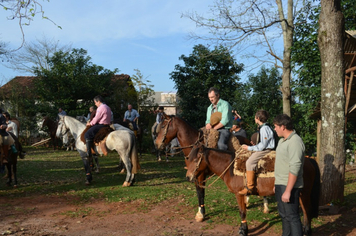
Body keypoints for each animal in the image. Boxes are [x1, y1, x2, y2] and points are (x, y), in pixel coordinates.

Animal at [156, 113, 320, 236]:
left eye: (163, 126)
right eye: (189, 158)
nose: (157, 144)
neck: (229, 166)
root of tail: (308, 160)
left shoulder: (214, 183)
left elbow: (238, 210)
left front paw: (241, 229)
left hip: (303, 193)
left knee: (307, 211)